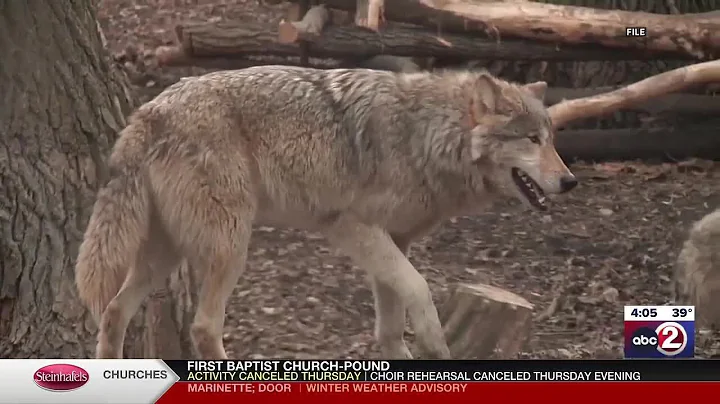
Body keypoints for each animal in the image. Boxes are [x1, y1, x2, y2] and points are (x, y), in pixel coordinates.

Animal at [74, 65, 578, 360]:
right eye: (532, 139)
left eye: (552, 139)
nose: (571, 181)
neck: (427, 133)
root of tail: (150, 110)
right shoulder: (352, 226)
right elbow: (419, 288)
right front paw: (436, 348)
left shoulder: (396, 239)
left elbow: (390, 326)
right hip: (230, 247)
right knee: (202, 327)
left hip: (167, 255)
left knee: (114, 312)